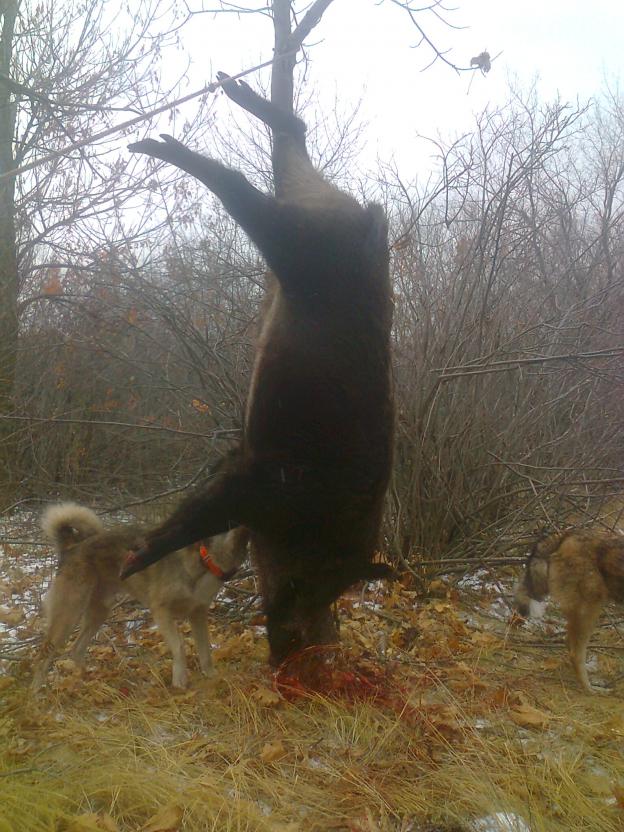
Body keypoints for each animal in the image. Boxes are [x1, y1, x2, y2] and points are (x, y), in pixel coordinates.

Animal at [32, 503, 248, 690]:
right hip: (68, 615)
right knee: (44, 655)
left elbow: (205, 651)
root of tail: (71, 547)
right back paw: (35, 694)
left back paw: (90, 682)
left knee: (76, 649)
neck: (204, 558)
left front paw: (212, 677)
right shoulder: (161, 610)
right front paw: (179, 681)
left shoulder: (198, 613)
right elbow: (179, 646)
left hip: (99, 611)